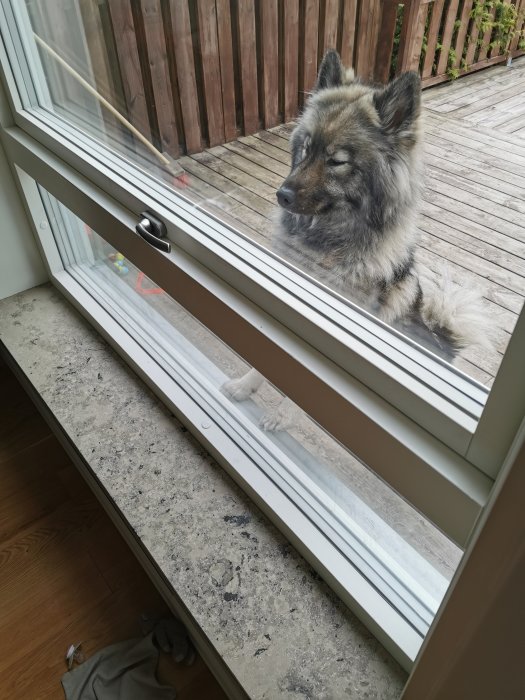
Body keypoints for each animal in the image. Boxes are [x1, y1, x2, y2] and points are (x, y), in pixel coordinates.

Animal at [224, 50, 488, 426]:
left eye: (337, 161)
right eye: (305, 149)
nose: (282, 195)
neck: (326, 242)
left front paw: (283, 416)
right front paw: (247, 385)